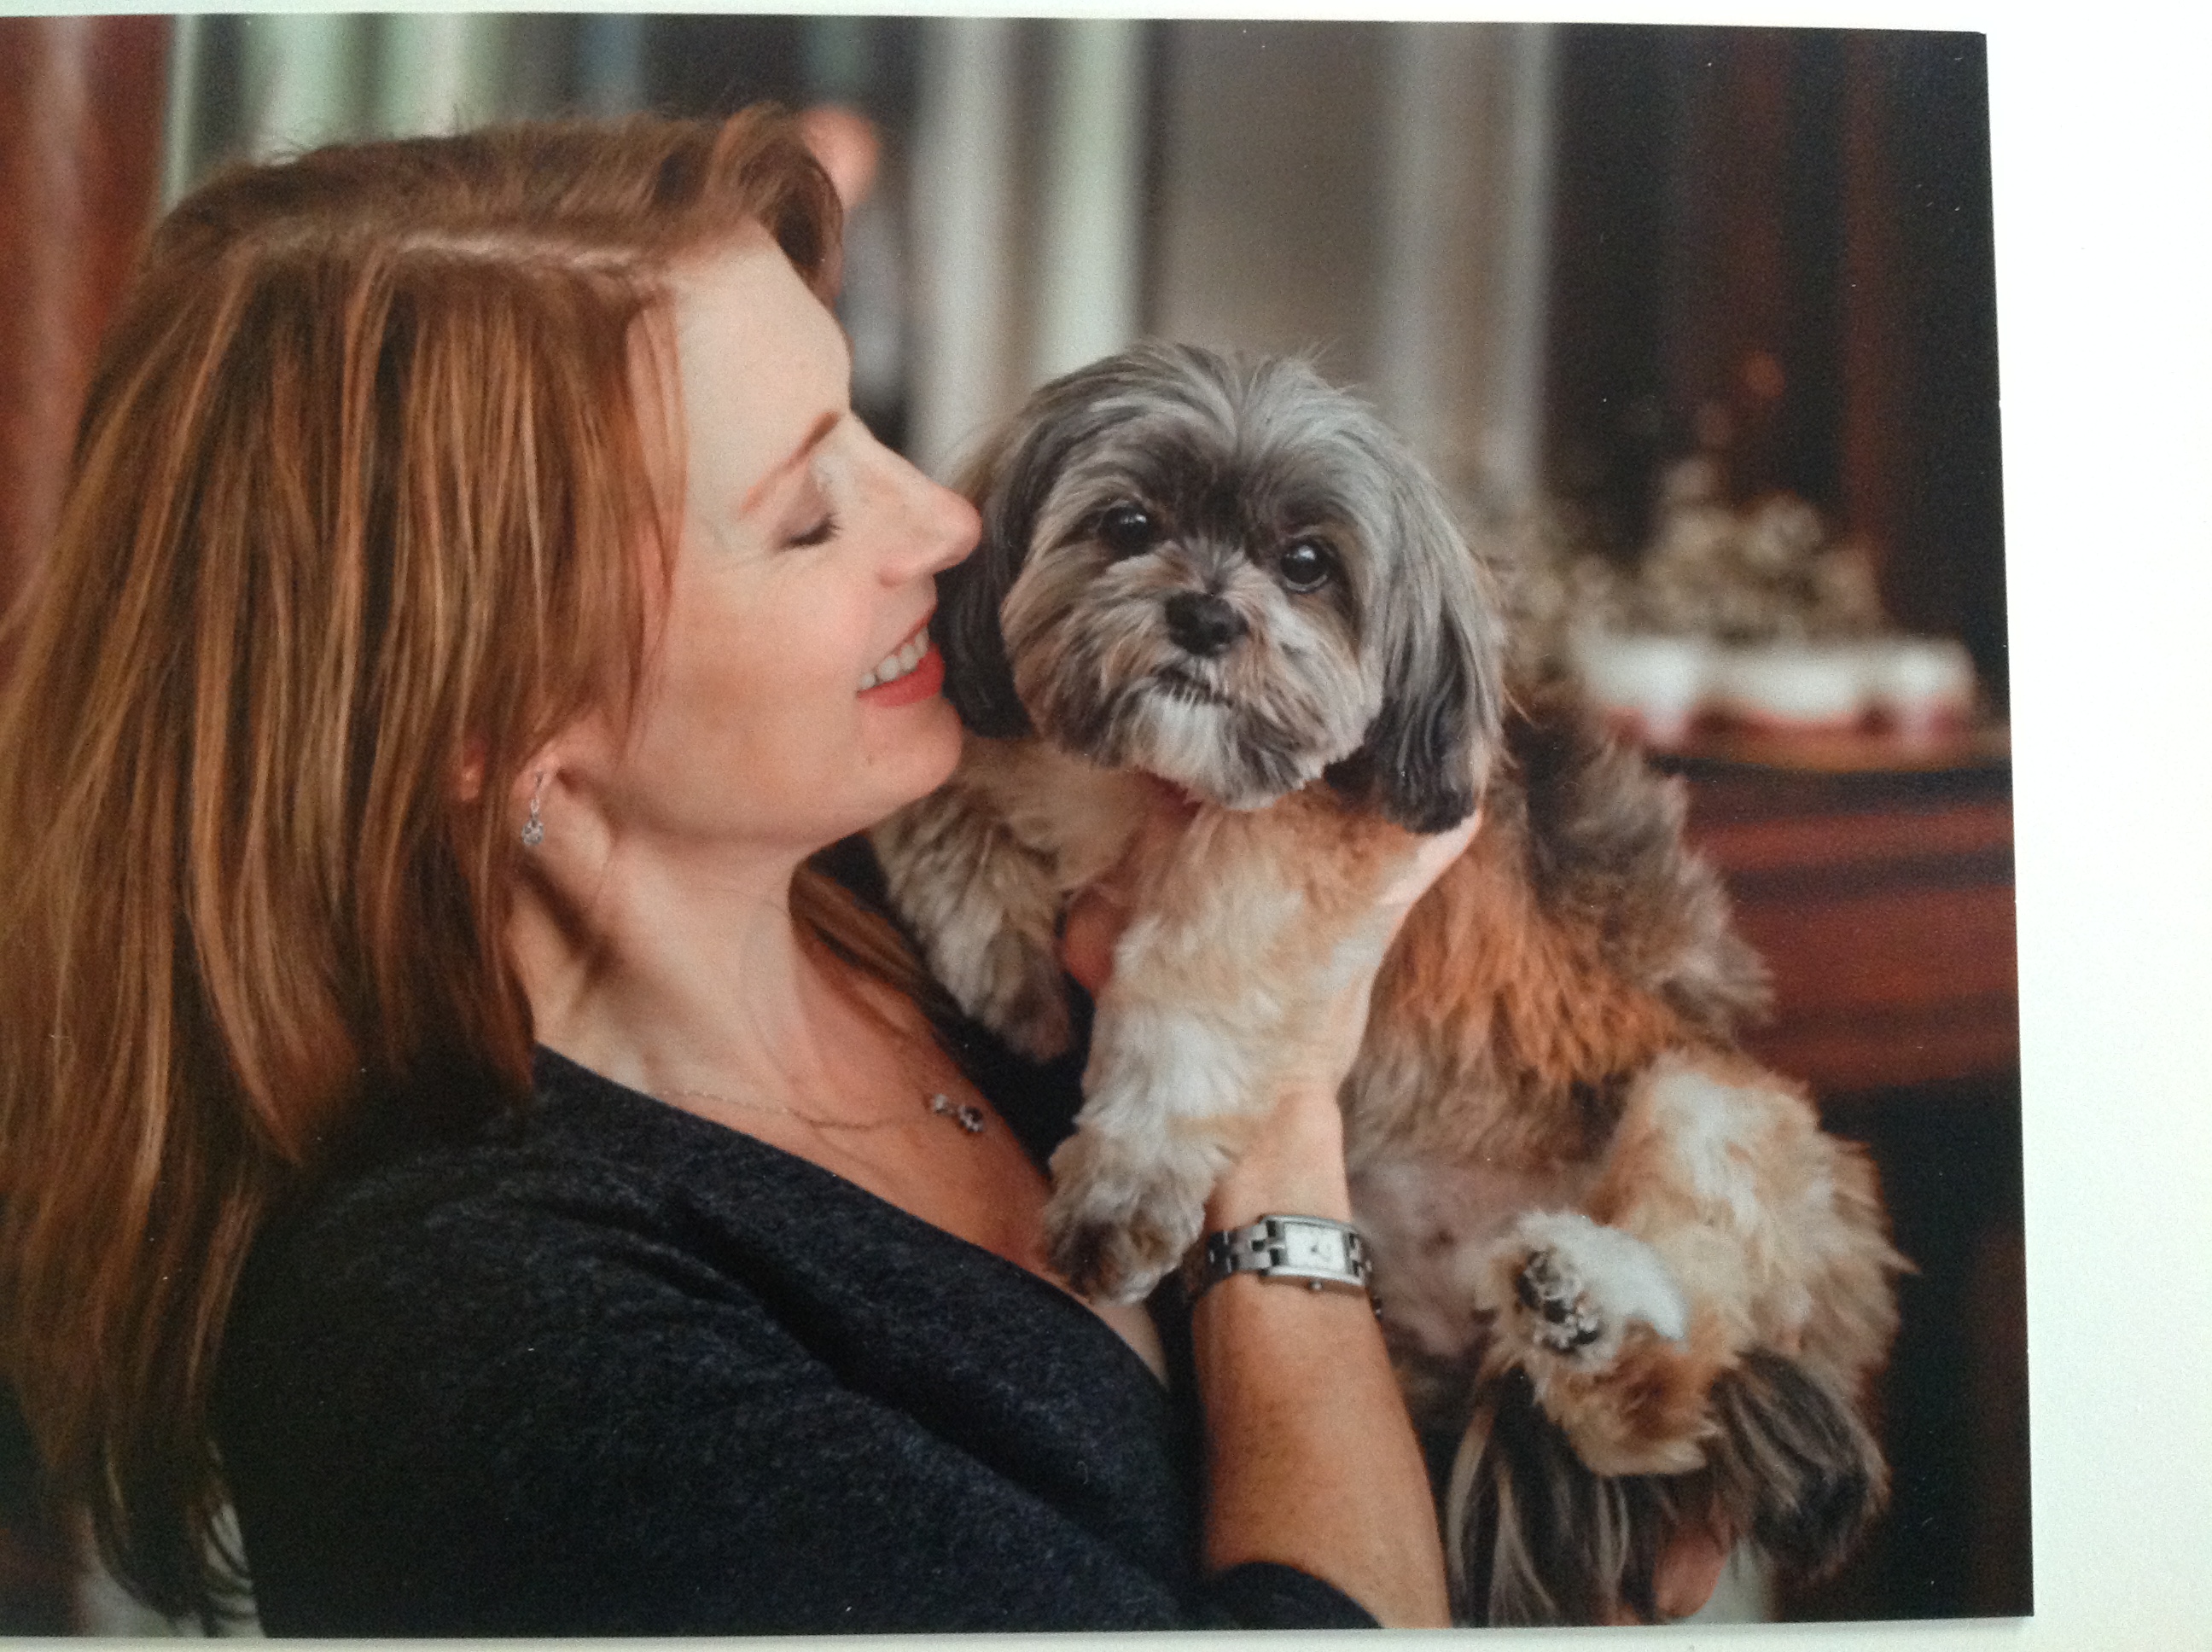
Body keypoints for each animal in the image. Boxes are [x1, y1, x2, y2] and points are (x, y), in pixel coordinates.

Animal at [869, 342, 1905, 1624]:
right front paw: (1005, 969)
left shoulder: (1294, 844)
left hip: (1710, 1106)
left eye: (1308, 565)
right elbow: (930, 795)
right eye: (1129, 524)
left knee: (1672, 1391)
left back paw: (1590, 1306)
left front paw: (1124, 1178)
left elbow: (1188, 981)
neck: (1148, 788)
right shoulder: (1013, 749)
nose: (1204, 615)